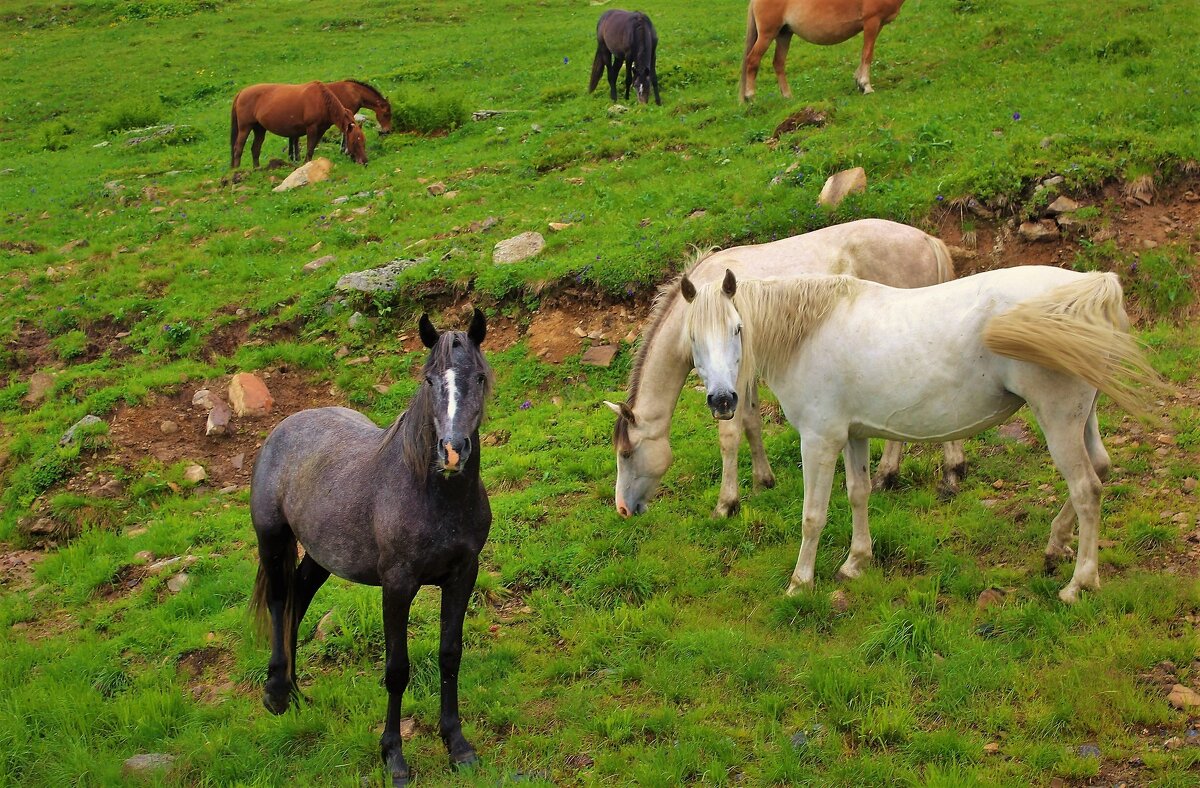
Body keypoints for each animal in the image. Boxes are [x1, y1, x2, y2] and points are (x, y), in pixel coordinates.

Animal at [229, 80, 364, 167]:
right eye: (354, 141)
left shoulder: (320, 130)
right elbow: (309, 148)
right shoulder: (311, 128)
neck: (321, 100)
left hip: (259, 128)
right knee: (238, 148)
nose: (365, 161)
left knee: (255, 149)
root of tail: (241, 92)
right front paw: (306, 164)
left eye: (363, 140)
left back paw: (257, 169)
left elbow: (312, 147)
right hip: (245, 127)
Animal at [248, 309, 492, 782]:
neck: (430, 494)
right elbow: (397, 669)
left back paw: (297, 692)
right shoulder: (397, 585)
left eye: (478, 377)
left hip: (320, 557)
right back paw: (277, 694)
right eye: (429, 379)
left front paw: (457, 745)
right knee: (279, 601)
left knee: (297, 602)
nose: (452, 452)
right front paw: (393, 757)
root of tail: (286, 427)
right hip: (272, 539)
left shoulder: (462, 575)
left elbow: (450, 656)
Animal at [604, 218, 960, 520]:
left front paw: (726, 504)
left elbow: (729, 435)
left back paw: (922, 474)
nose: (622, 508)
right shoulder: (743, 379)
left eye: (626, 453)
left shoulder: (729, 385)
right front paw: (763, 481)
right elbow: (752, 423)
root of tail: (927, 240)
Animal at [686, 263, 1161, 602]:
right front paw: (856, 562)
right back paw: (1054, 546)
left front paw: (800, 584)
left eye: (738, 329)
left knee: (1087, 490)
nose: (723, 401)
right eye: (692, 338)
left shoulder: (819, 440)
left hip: (1059, 419)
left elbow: (812, 516)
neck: (808, 331)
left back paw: (1078, 584)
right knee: (1101, 467)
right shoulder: (853, 434)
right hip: (1084, 417)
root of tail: (1091, 287)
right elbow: (858, 493)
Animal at [734, 0, 902, 101]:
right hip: (767, 34)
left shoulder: (877, 24)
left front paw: (859, 81)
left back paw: (788, 96)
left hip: (784, 34)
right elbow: (867, 54)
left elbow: (865, 53)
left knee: (778, 63)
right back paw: (751, 97)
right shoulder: (872, 22)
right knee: (753, 60)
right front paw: (866, 86)